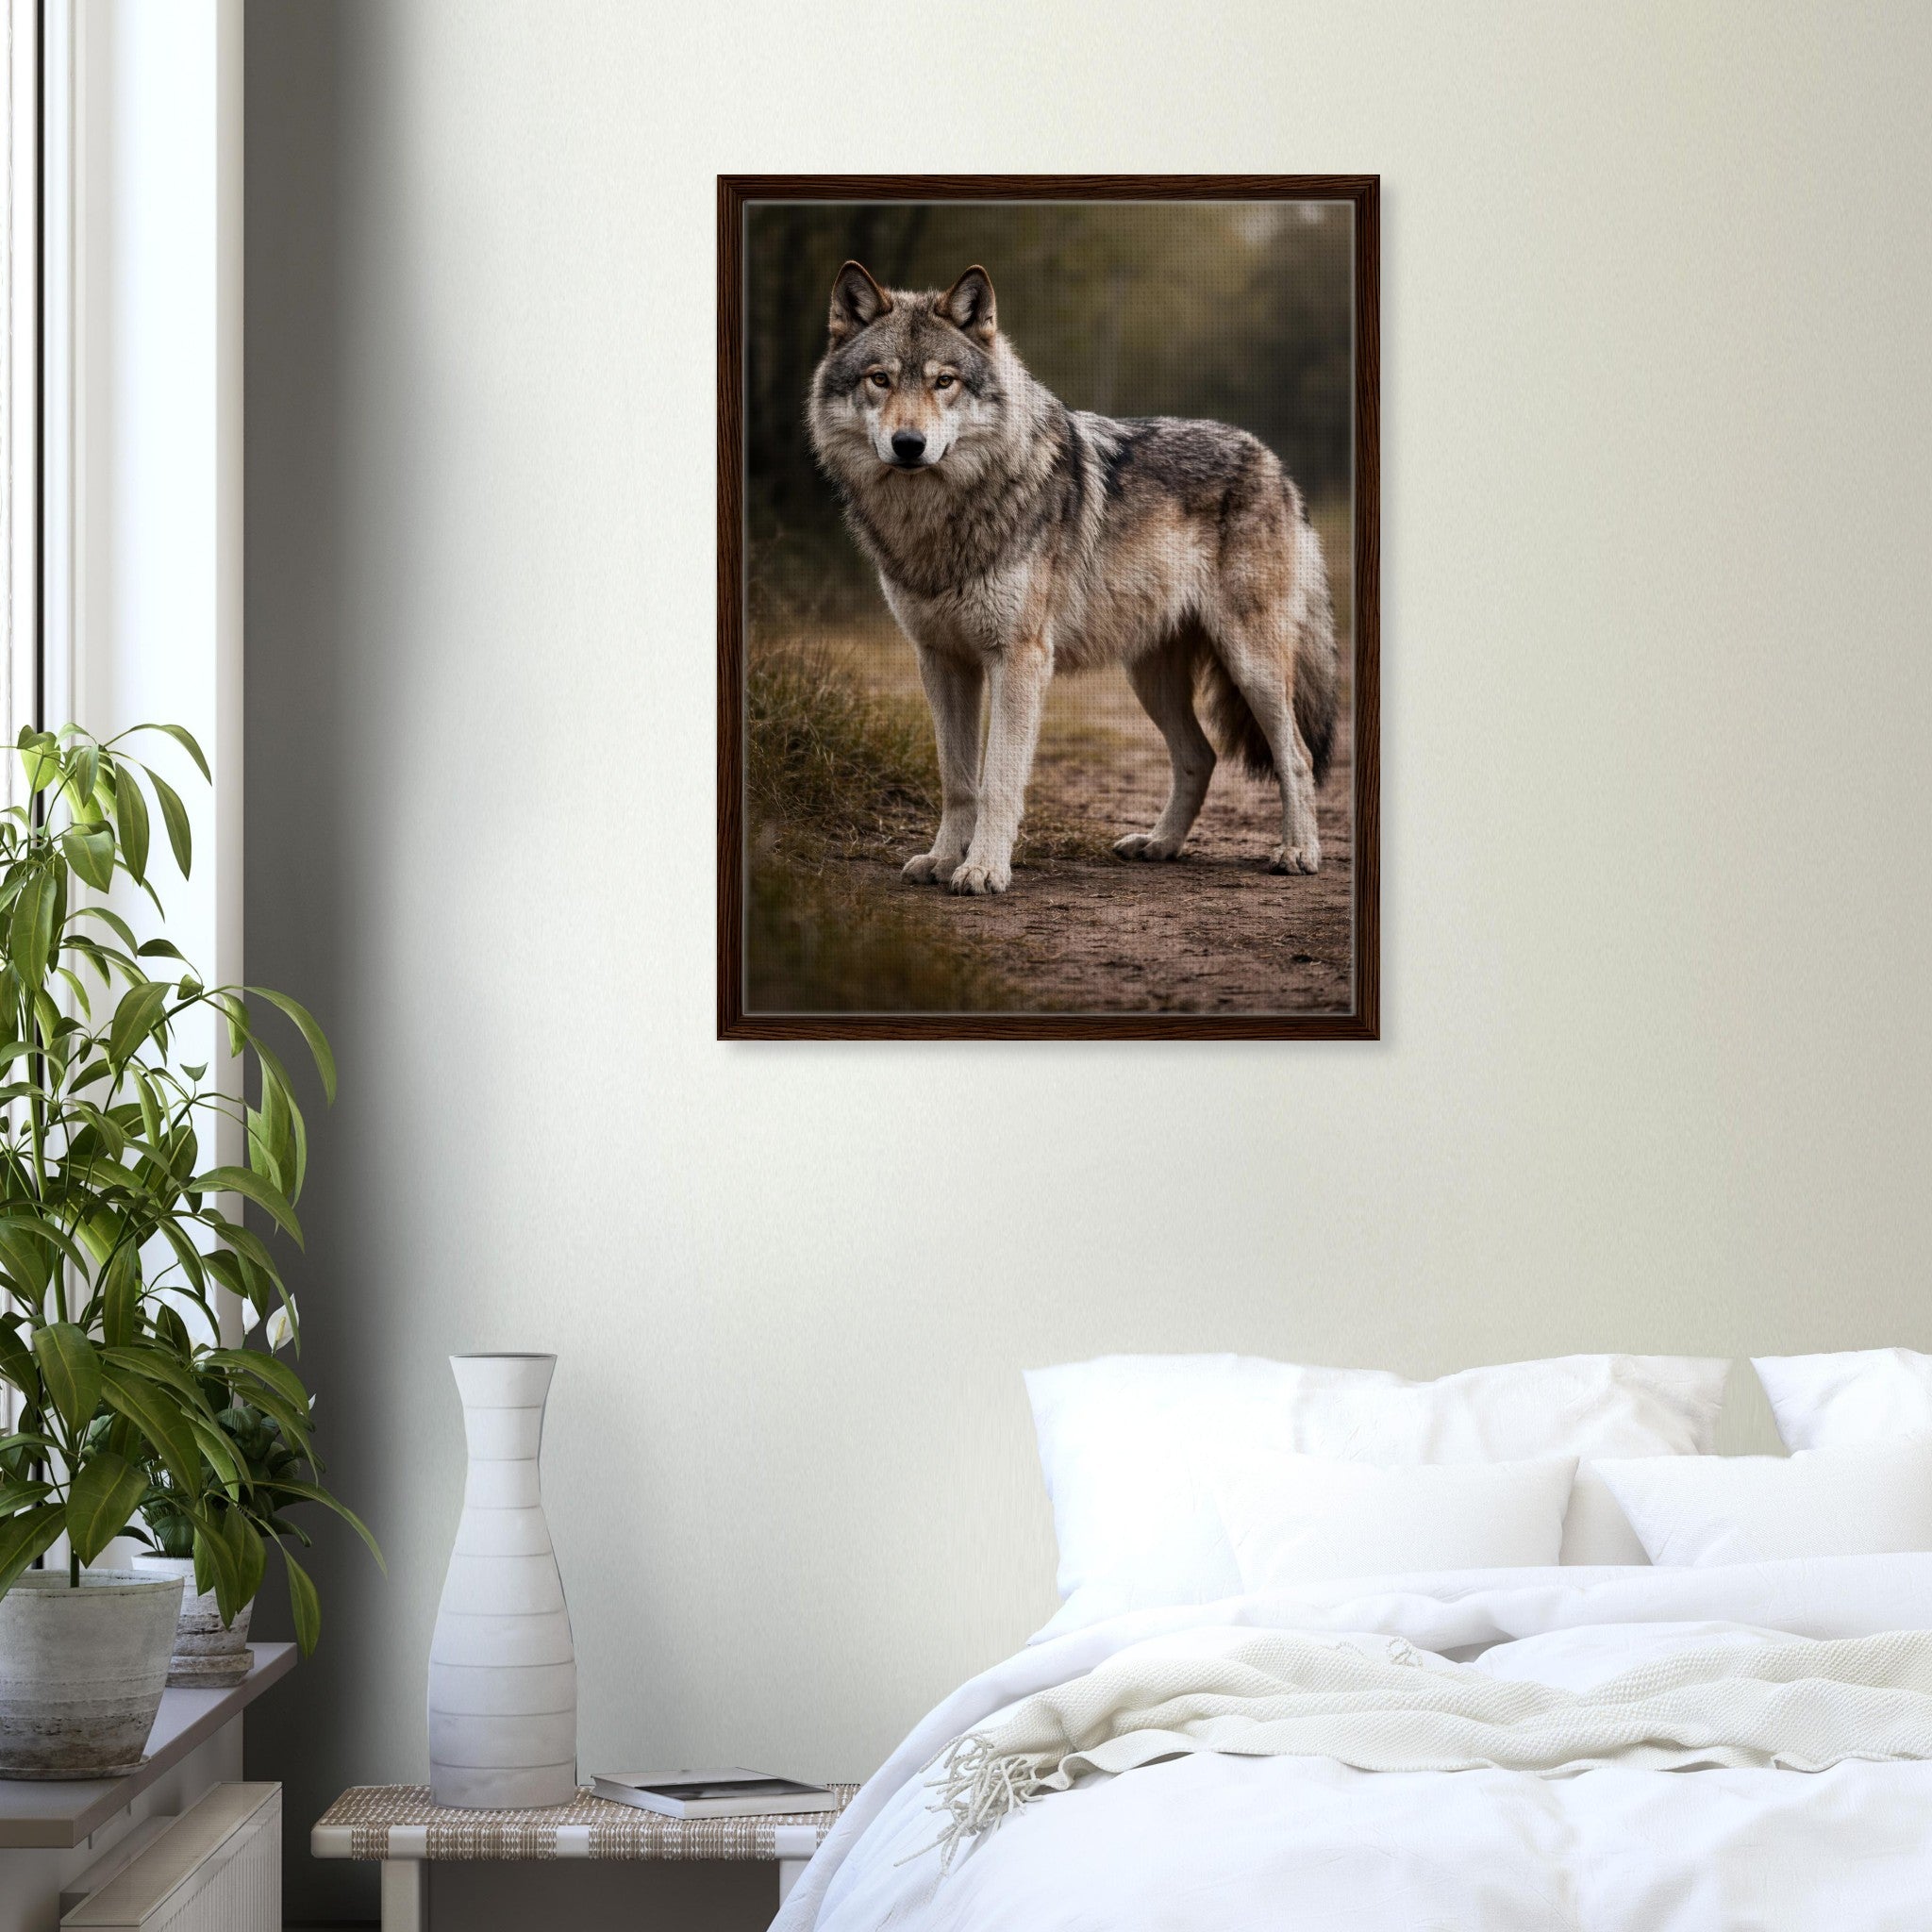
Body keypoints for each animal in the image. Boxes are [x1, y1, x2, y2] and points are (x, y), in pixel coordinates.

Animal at [806, 260, 1339, 897]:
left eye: (944, 382)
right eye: (880, 380)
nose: (909, 445)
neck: (940, 517)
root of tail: (1274, 462)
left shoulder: (1020, 659)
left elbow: (998, 780)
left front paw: (983, 869)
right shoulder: (940, 660)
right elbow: (957, 780)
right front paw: (940, 860)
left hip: (1251, 664)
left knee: (1297, 756)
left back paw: (1298, 851)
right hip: (1150, 678)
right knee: (1200, 757)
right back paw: (1159, 844)